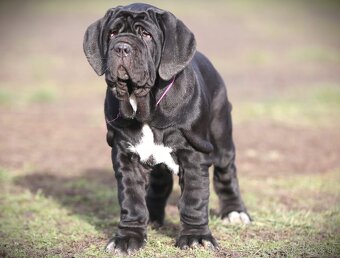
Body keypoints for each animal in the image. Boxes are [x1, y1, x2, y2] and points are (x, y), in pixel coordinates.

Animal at [83, 3, 250, 254]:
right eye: (112, 33)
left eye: (146, 35)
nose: (121, 47)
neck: (146, 106)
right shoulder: (125, 155)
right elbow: (131, 199)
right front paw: (128, 237)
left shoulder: (194, 155)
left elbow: (194, 198)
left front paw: (195, 237)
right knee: (159, 184)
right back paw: (152, 217)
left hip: (221, 136)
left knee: (226, 171)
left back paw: (235, 212)